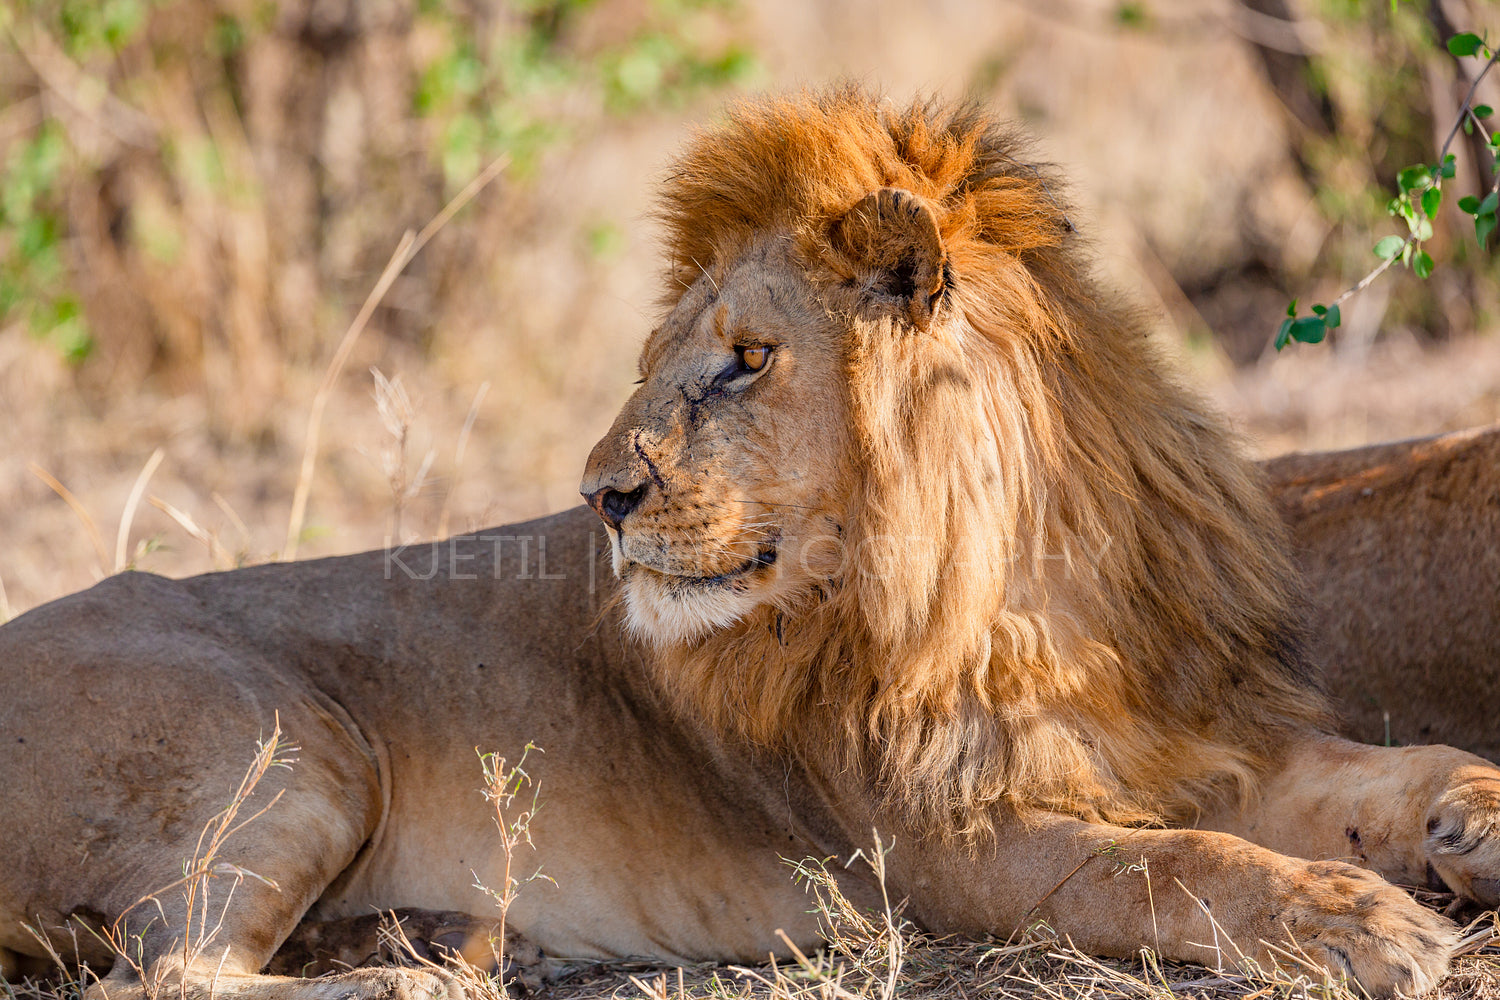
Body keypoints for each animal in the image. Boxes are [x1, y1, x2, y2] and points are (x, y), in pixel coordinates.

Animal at [2, 88, 1500, 1000]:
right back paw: (414, 972)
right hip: (292, 741)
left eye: (745, 361)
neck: (1016, 591)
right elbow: (1179, 864)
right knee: (167, 973)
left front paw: (1467, 822)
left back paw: (441, 933)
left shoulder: (1195, 733)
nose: (598, 494)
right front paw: (1363, 923)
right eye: (662, 364)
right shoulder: (948, 848)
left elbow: (1394, 766)